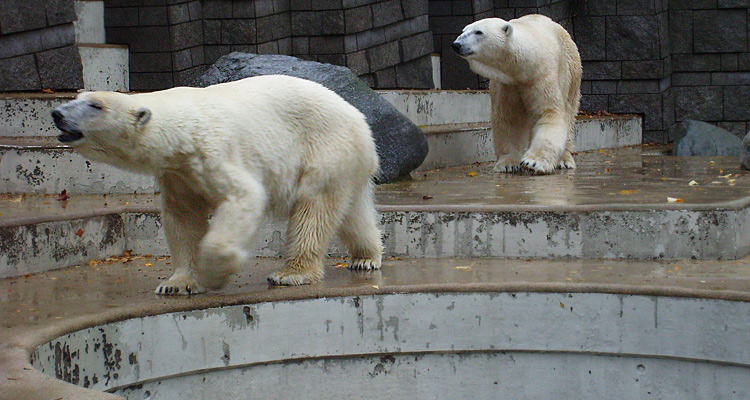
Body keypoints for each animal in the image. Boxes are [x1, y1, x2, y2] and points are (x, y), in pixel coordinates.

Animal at [51, 74, 388, 294]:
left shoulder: (212, 151)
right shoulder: (177, 174)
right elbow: (183, 219)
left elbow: (244, 197)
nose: (56, 113)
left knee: (313, 209)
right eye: (77, 99)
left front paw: (217, 273)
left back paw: (290, 274)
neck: (182, 129)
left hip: (325, 147)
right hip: (344, 161)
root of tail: (360, 120)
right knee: (350, 212)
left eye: (95, 106)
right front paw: (176, 284)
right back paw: (365, 258)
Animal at [452, 14, 588, 174]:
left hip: (572, 72)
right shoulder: (507, 83)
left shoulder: (542, 75)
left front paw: (533, 162)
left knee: (569, 113)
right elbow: (509, 118)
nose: (456, 44)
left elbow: (548, 113)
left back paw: (565, 160)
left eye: (479, 32)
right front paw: (508, 164)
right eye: (463, 30)